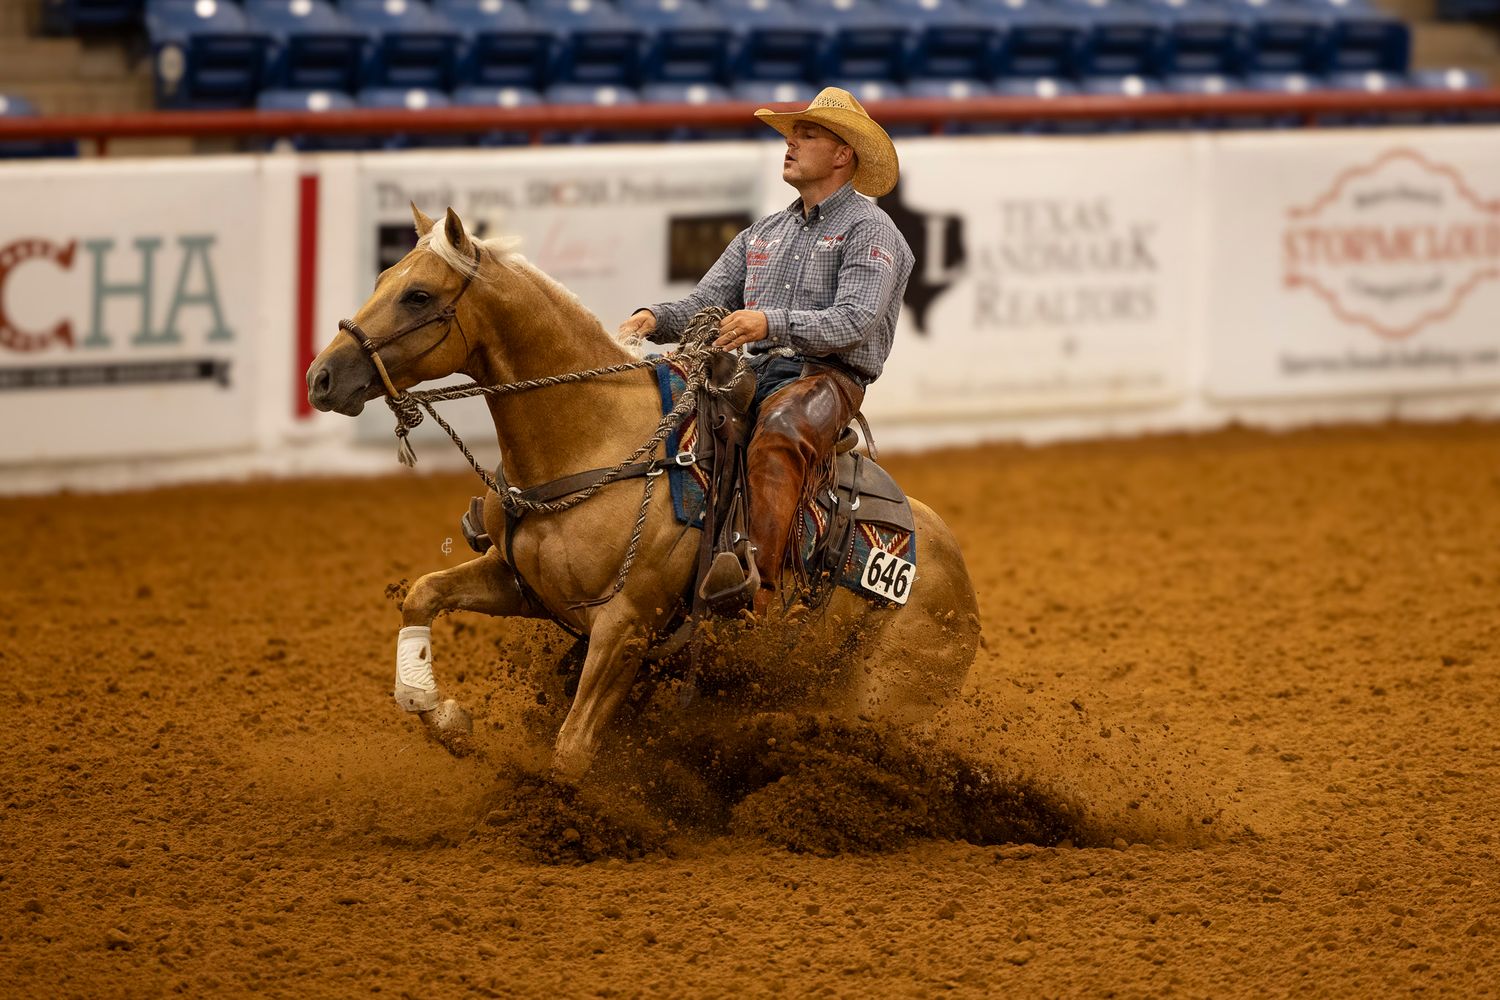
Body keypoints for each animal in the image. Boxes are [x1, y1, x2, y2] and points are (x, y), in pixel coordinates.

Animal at [305, 204, 981, 781]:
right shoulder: (522, 584)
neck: (593, 438)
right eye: (384, 275)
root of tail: (961, 581)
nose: (321, 377)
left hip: (878, 697)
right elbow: (422, 594)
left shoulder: (624, 626)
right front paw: (437, 708)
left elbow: (572, 748)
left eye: (418, 295)